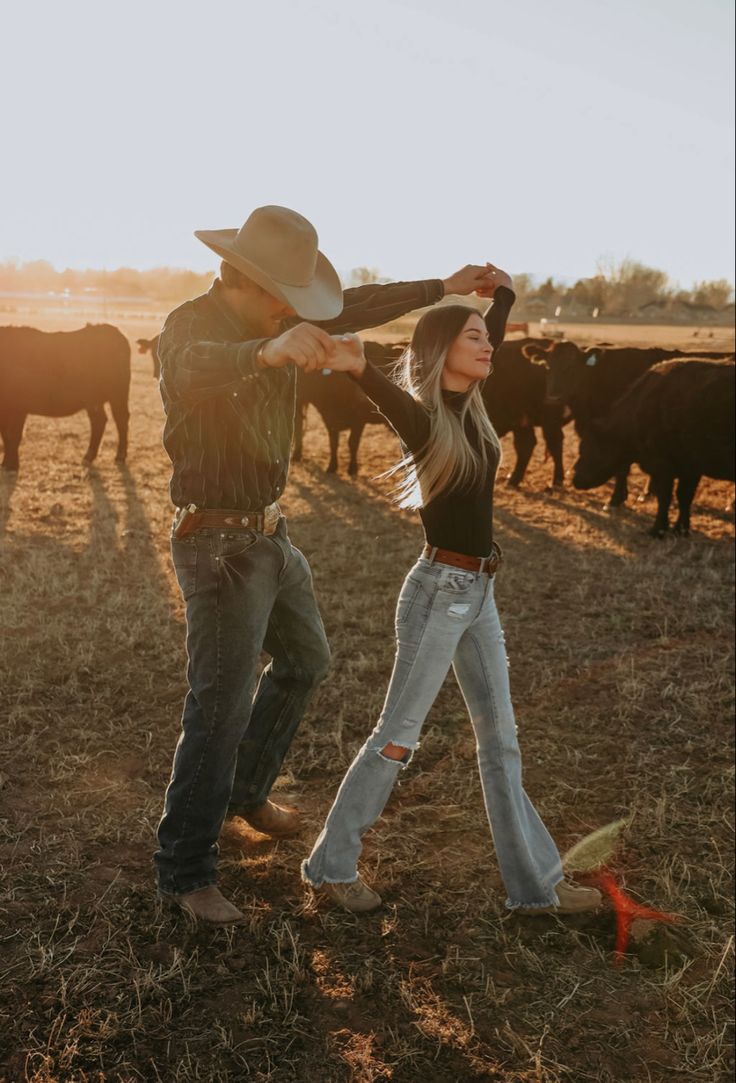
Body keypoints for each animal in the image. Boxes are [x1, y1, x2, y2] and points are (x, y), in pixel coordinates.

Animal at [0, 322, 130, 472]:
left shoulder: (19, 408)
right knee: (99, 421)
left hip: (118, 394)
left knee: (121, 420)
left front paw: (12, 465)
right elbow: (5, 435)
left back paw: (120, 456)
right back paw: (88, 456)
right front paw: (5, 463)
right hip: (93, 400)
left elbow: (13, 435)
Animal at [575, 359, 736, 537]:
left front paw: (658, 529)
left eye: (587, 448)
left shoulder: (663, 467)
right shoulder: (690, 469)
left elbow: (665, 497)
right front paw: (681, 529)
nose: (575, 479)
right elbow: (684, 497)